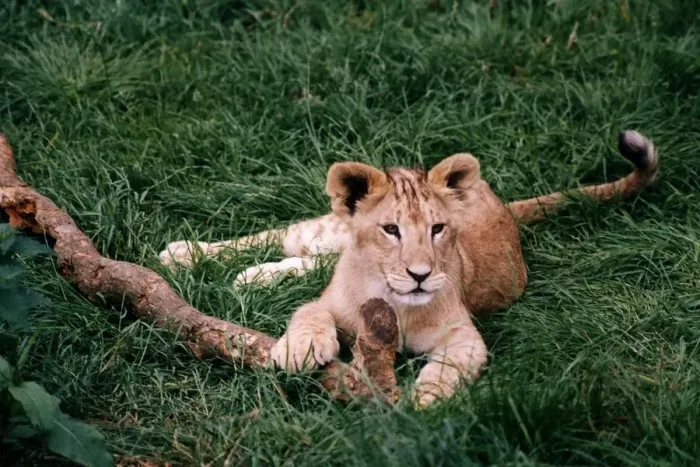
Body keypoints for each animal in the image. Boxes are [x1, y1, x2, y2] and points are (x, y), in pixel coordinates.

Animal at [160, 130, 659, 406]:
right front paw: (300, 349)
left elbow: (451, 365)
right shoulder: (329, 302)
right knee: (281, 236)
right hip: (328, 228)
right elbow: (309, 311)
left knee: (311, 258)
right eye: (390, 230)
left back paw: (251, 276)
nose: (419, 274)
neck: (391, 299)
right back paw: (186, 253)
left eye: (438, 229)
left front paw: (426, 400)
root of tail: (500, 202)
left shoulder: (464, 335)